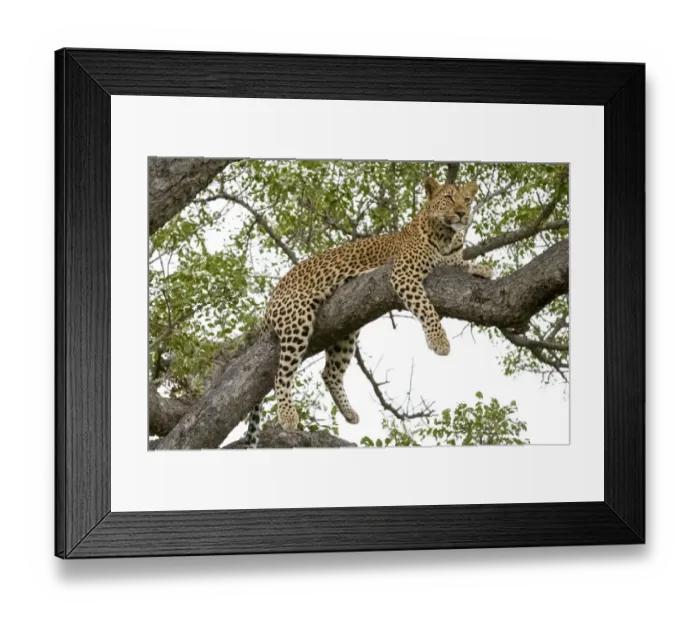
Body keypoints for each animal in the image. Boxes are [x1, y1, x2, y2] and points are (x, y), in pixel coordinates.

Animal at [243, 177, 493, 447]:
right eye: (448, 198)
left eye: (467, 200)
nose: (461, 213)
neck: (447, 236)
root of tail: (271, 300)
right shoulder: (403, 274)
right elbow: (427, 308)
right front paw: (439, 341)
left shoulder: (449, 262)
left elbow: (462, 264)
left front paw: (482, 268)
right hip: (297, 319)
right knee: (281, 375)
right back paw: (288, 415)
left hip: (345, 331)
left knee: (329, 373)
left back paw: (349, 412)